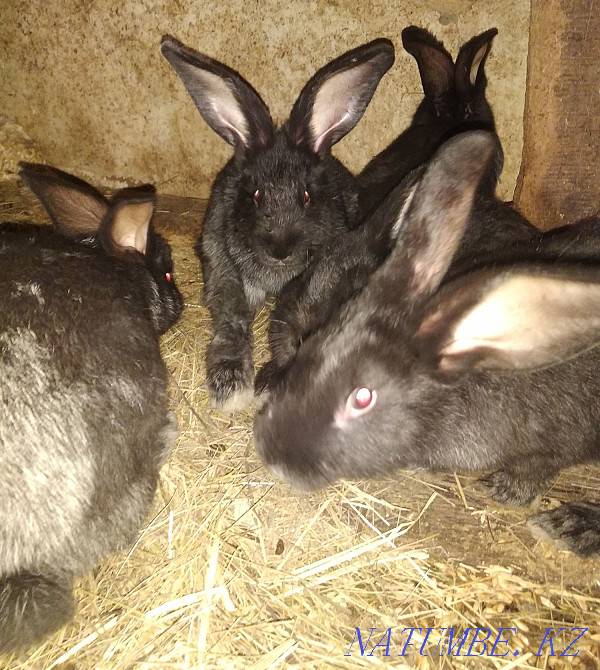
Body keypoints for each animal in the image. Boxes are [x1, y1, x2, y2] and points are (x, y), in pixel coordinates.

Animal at [161, 35, 395, 410]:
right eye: (255, 194)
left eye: (307, 196)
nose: (280, 249)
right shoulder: (222, 269)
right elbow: (232, 320)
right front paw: (231, 385)